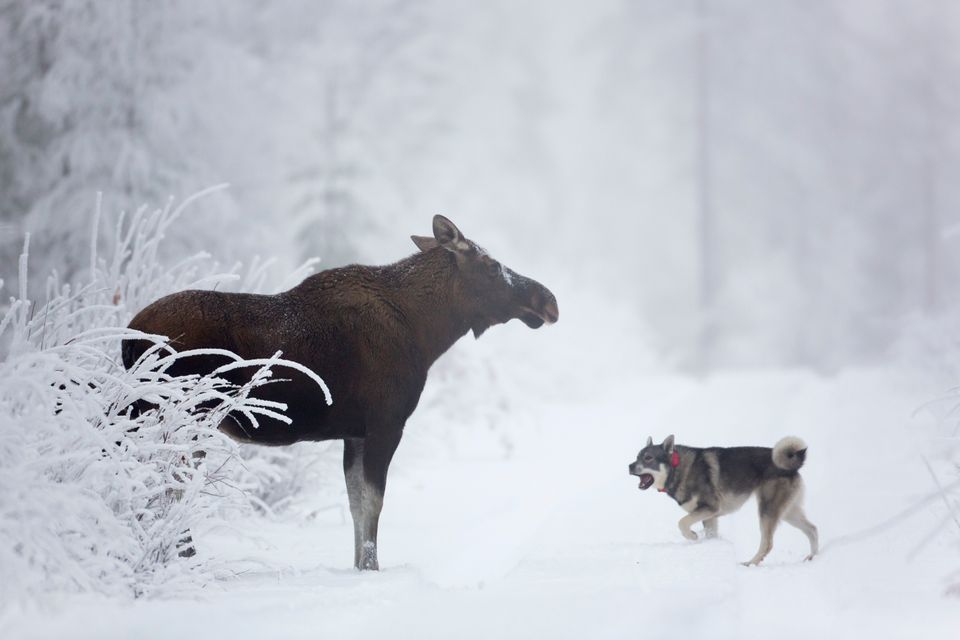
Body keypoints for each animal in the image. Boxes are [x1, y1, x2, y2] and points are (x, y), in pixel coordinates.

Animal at [121, 214, 560, 568]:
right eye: (491, 265)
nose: (548, 300)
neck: (428, 333)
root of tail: (128, 337)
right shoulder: (386, 423)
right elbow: (374, 501)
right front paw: (371, 568)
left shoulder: (354, 433)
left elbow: (355, 504)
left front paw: (357, 567)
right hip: (180, 416)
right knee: (169, 482)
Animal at [632, 436, 816, 564]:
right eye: (637, 456)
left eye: (648, 458)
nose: (629, 466)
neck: (677, 469)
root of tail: (793, 466)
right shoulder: (710, 516)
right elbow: (710, 534)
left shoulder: (711, 507)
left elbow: (682, 523)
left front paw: (692, 536)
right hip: (788, 512)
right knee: (812, 529)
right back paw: (813, 557)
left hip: (767, 510)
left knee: (767, 544)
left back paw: (750, 563)